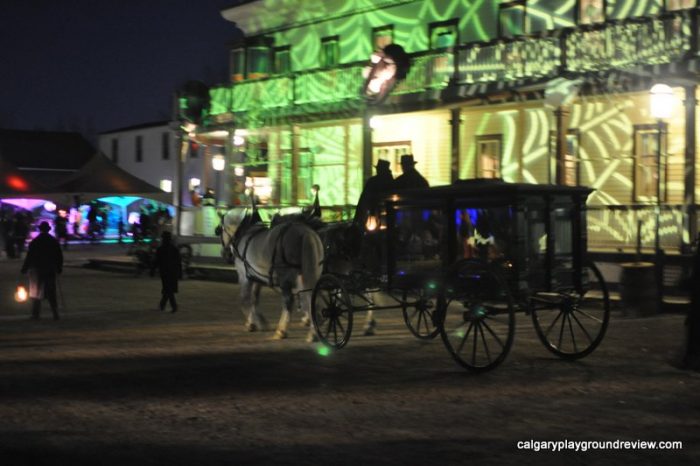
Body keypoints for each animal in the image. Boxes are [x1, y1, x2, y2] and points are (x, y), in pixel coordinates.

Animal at [217, 209, 324, 340]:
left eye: (220, 230)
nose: (224, 254)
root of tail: (306, 233)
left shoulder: (244, 276)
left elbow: (244, 298)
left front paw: (251, 324)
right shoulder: (257, 277)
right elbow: (254, 298)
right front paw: (260, 322)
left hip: (286, 277)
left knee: (289, 301)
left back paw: (281, 331)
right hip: (307, 274)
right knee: (310, 297)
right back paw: (313, 331)